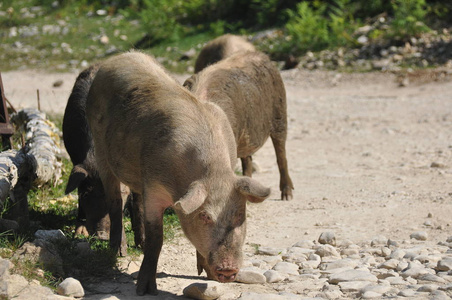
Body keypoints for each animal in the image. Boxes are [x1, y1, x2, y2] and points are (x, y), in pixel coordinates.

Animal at [86, 50, 270, 294]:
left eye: (240, 215)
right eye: (204, 216)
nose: (228, 270)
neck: (212, 173)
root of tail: (120, 57)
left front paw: (206, 276)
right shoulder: (154, 186)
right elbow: (157, 239)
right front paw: (146, 290)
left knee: (135, 199)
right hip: (99, 146)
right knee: (115, 199)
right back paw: (118, 251)